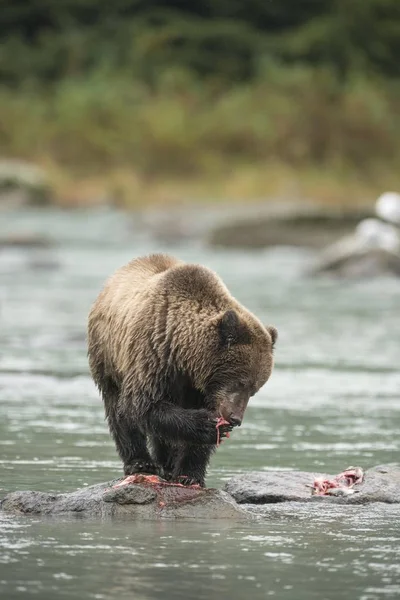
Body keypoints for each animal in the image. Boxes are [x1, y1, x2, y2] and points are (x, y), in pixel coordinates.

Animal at [87, 254, 276, 488]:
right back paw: (140, 462)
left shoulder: (201, 387)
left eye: (254, 389)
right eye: (240, 382)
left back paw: (167, 464)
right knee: (117, 408)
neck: (185, 357)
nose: (235, 418)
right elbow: (142, 404)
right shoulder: (153, 355)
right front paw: (206, 425)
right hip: (108, 354)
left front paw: (190, 474)